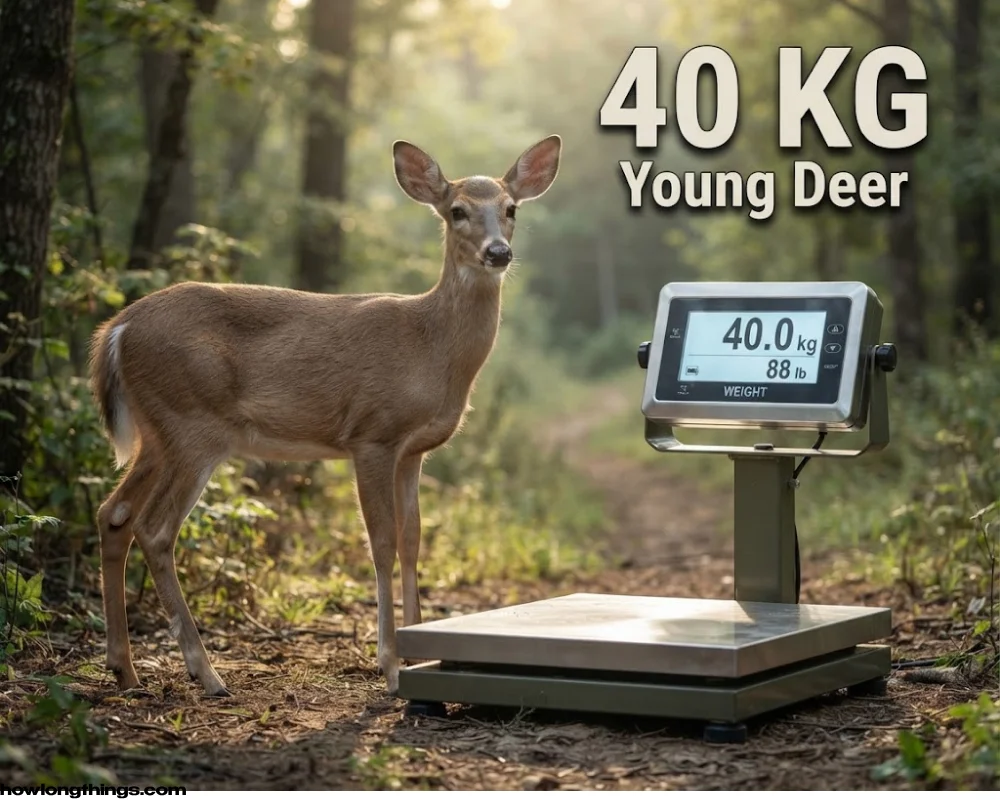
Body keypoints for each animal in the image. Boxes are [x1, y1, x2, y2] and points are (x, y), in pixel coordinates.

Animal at [88, 136, 562, 697]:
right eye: (457, 211)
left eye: (511, 209)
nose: (498, 252)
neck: (431, 346)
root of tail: (117, 329)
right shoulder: (372, 434)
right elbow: (381, 542)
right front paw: (391, 667)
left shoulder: (414, 451)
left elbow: (412, 541)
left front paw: (419, 652)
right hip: (191, 423)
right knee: (156, 529)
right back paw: (206, 673)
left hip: (155, 433)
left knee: (114, 513)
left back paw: (125, 668)